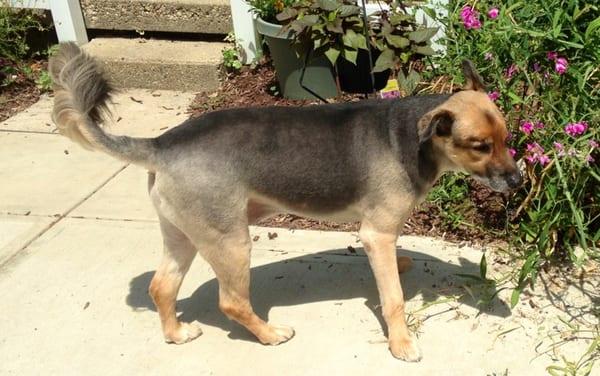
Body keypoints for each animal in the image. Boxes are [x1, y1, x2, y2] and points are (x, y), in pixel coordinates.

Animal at [50, 42, 520, 362]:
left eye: (506, 138)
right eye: (479, 146)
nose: (517, 180)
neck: (412, 138)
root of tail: (161, 145)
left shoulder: (384, 233)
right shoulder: (375, 234)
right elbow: (394, 299)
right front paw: (401, 343)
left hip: (184, 234)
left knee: (161, 287)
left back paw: (177, 334)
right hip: (230, 241)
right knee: (231, 302)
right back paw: (269, 334)